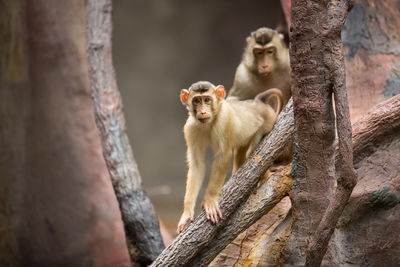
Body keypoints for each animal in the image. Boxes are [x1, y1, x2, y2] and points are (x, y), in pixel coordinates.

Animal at [177, 81, 282, 234]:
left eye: (207, 99)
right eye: (197, 100)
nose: (203, 111)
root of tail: (259, 102)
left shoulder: (223, 120)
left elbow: (224, 155)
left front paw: (210, 201)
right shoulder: (190, 127)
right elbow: (197, 165)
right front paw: (186, 213)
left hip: (269, 121)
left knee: (253, 148)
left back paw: (265, 176)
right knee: (241, 150)